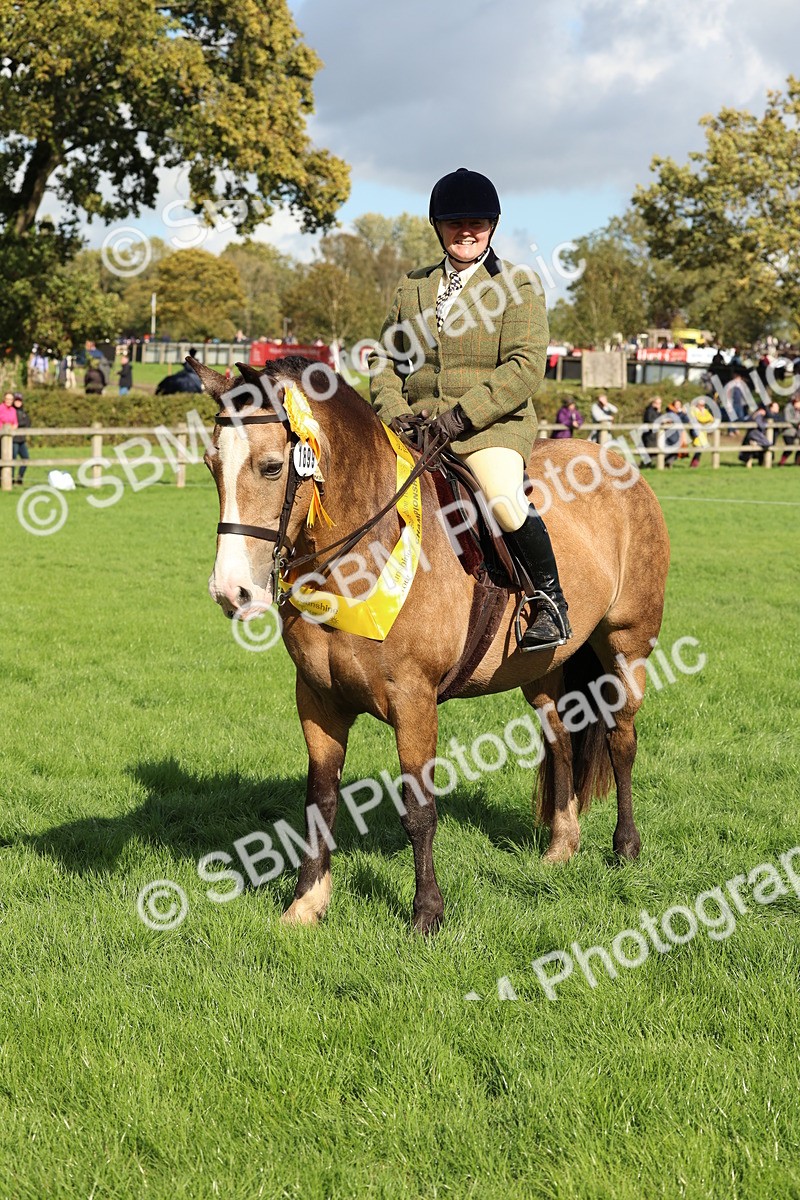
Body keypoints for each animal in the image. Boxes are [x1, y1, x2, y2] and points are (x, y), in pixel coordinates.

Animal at [191, 356, 670, 934]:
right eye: (212, 465)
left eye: (269, 467)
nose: (230, 591)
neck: (359, 559)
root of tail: (618, 463)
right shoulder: (317, 700)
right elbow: (319, 800)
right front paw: (306, 904)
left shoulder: (414, 701)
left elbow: (418, 808)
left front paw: (426, 914)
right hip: (541, 667)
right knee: (559, 740)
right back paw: (561, 847)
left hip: (626, 644)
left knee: (622, 739)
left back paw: (626, 847)